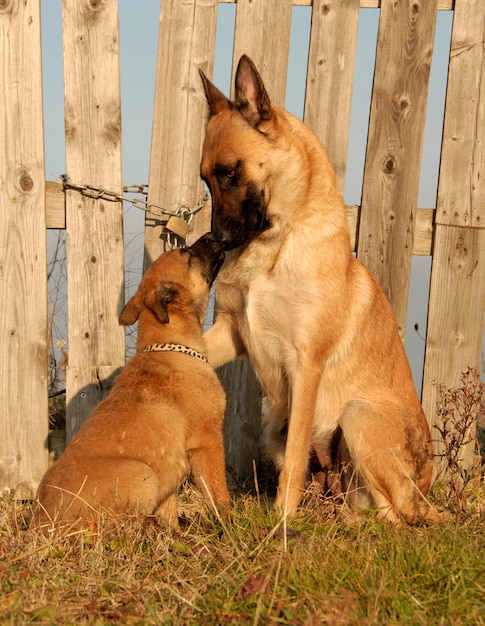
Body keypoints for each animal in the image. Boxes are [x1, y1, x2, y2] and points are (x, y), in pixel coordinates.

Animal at [31, 234, 229, 532]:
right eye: (188, 254)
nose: (215, 236)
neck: (171, 345)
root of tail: (43, 525)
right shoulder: (208, 442)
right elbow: (219, 494)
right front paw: (231, 524)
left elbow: (170, 511)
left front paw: (174, 534)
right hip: (142, 474)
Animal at [199, 54, 440, 520]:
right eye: (206, 180)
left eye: (231, 172)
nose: (216, 242)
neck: (275, 244)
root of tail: (426, 494)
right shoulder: (230, 332)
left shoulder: (305, 366)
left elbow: (295, 457)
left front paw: (282, 522)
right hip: (284, 433)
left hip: (358, 417)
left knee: (394, 516)